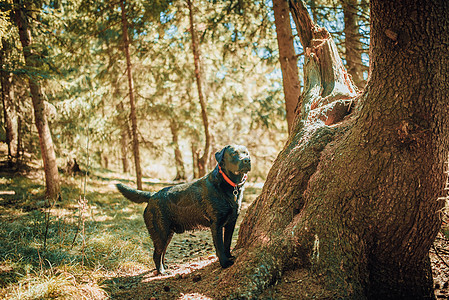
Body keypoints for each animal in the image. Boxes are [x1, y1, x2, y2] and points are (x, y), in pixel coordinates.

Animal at [115, 144, 250, 274]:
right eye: (234, 153)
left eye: (246, 153)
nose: (247, 160)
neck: (230, 186)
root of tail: (152, 195)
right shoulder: (216, 224)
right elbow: (220, 247)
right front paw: (225, 263)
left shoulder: (231, 223)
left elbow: (227, 243)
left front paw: (229, 256)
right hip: (161, 233)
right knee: (156, 254)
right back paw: (162, 272)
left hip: (168, 233)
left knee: (162, 253)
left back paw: (165, 267)